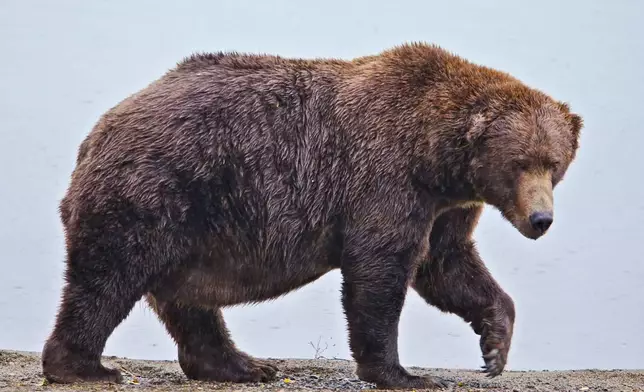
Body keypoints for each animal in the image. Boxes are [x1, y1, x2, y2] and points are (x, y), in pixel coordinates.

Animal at [41, 41, 584, 390]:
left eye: (554, 164)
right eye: (520, 163)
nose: (541, 219)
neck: (434, 156)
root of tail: (96, 134)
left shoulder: (447, 206)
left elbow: (447, 266)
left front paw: (494, 346)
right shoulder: (384, 178)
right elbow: (380, 270)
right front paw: (403, 373)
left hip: (190, 227)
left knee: (187, 302)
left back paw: (239, 365)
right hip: (156, 192)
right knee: (108, 279)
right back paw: (84, 366)